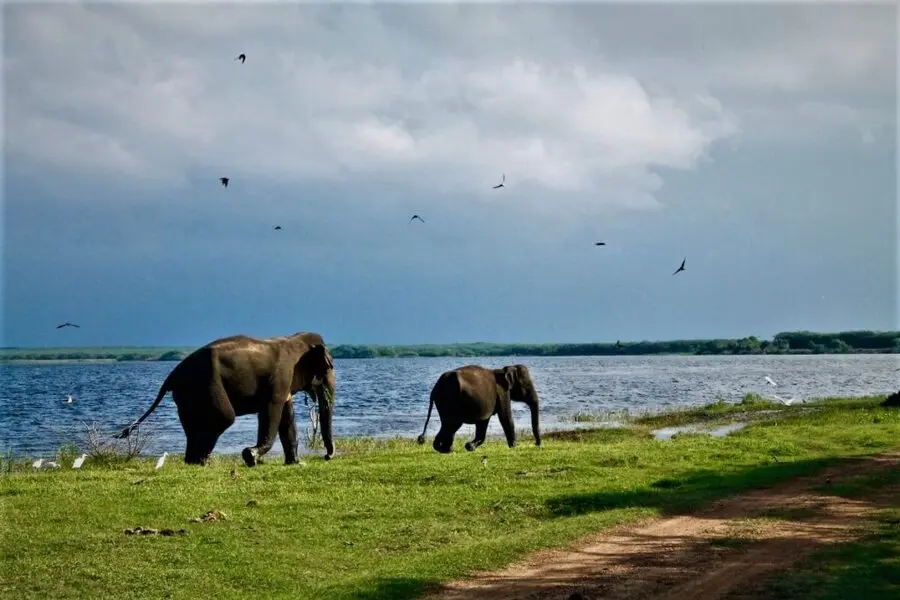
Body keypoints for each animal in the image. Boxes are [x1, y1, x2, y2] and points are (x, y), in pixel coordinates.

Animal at [114, 331, 336, 467]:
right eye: (329, 366)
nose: (327, 456)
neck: (294, 339)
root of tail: (171, 375)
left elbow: (287, 418)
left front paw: (297, 463)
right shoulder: (280, 380)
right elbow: (271, 412)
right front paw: (250, 457)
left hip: (187, 394)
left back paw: (194, 462)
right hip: (206, 385)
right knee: (223, 417)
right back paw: (203, 461)